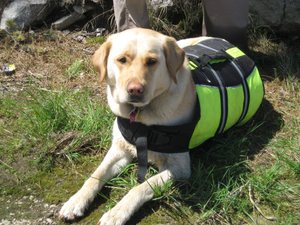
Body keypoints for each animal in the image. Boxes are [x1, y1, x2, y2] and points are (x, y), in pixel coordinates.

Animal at [58, 29, 227, 224]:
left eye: (152, 61)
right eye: (122, 59)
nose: (135, 90)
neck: (141, 116)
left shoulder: (179, 167)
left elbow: (140, 188)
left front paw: (116, 214)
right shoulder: (120, 149)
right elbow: (96, 175)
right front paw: (76, 200)